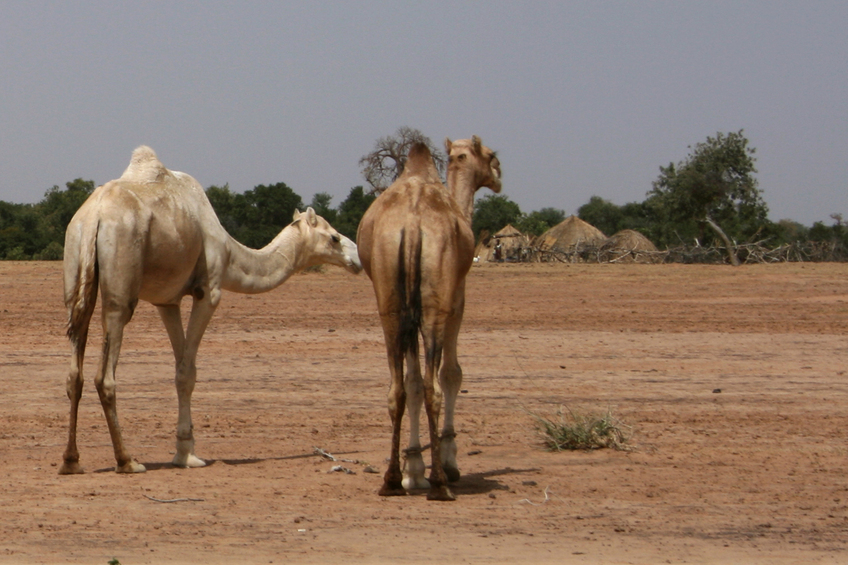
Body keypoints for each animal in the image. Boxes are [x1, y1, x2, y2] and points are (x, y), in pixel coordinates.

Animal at [60, 144, 362, 472]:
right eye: (334, 237)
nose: (357, 258)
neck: (230, 251)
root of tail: (94, 216)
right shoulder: (208, 291)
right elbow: (188, 372)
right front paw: (188, 456)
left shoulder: (167, 301)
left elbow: (180, 369)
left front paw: (183, 452)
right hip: (120, 281)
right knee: (105, 372)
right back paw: (127, 460)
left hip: (75, 262)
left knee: (74, 369)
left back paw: (71, 460)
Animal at [354, 135, 500, 498]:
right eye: (490, 155)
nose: (498, 174)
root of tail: (413, 224)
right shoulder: (457, 301)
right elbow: (451, 374)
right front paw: (445, 462)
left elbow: (412, 382)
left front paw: (413, 469)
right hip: (435, 303)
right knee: (434, 385)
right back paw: (440, 483)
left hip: (390, 302)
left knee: (398, 388)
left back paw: (392, 480)